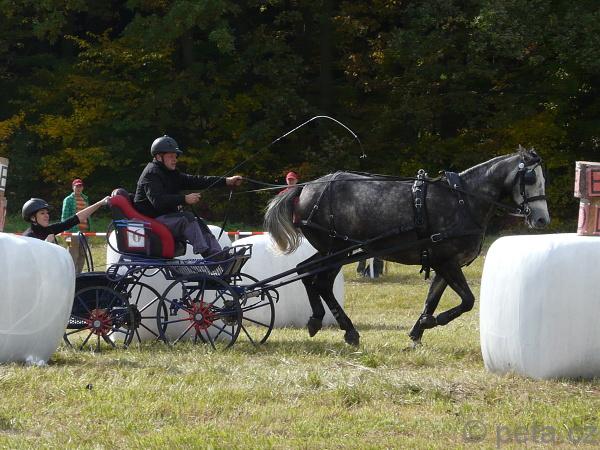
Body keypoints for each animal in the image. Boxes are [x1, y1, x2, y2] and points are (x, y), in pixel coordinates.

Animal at [264, 146, 550, 346]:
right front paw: (434, 321)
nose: (541, 220)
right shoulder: (447, 262)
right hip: (336, 250)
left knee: (306, 271)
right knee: (320, 281)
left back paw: (316, 320)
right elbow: (468, 300)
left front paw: (418, 330)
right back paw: (349, 330)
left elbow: (432, 299)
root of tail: (305, 189)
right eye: (530, 177)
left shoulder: (444, 263)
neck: (463, 200)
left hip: (330, 250)